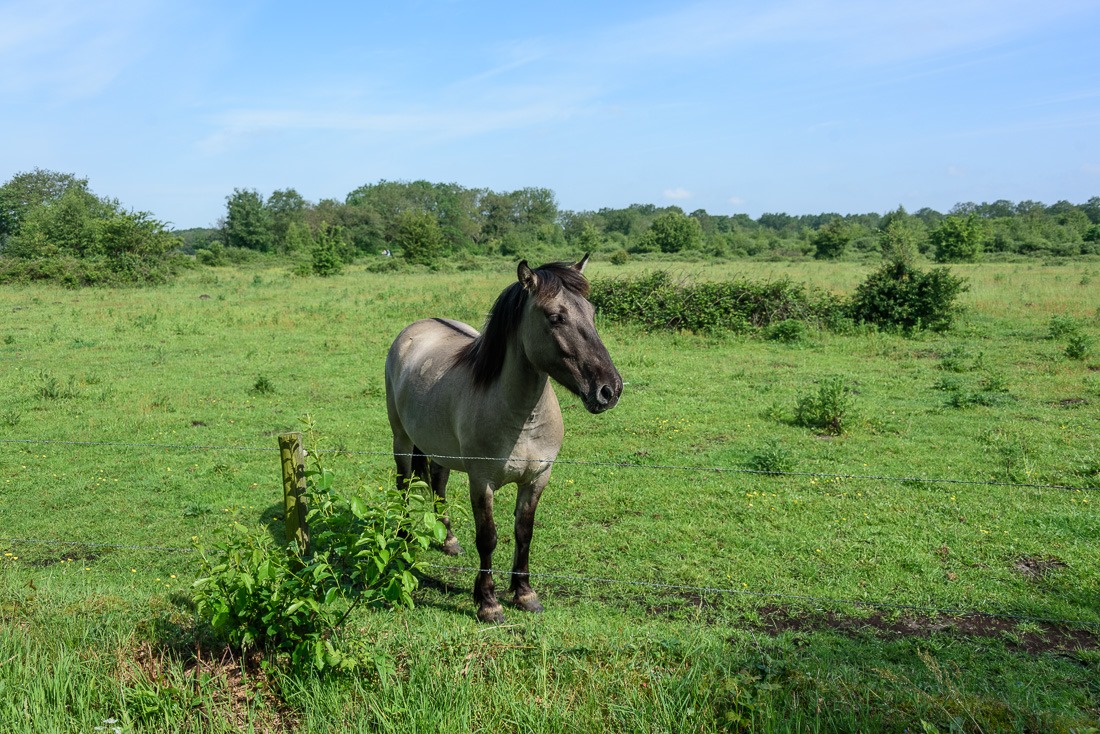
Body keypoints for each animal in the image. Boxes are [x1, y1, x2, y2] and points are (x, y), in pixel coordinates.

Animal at [389, 255, 624, 625]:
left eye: (592, 311)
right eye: (555, 317)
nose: (609, 389)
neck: (522, 419)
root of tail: (417, 327)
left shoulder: (537, 478)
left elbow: (523, 532)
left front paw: (524, 593)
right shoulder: (481, 481)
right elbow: (488, 538)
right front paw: (488, 602)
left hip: (440, 450)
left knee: (438, 485)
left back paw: (449, 539)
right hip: (400, 439)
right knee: (403, 483)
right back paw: (401, 540)